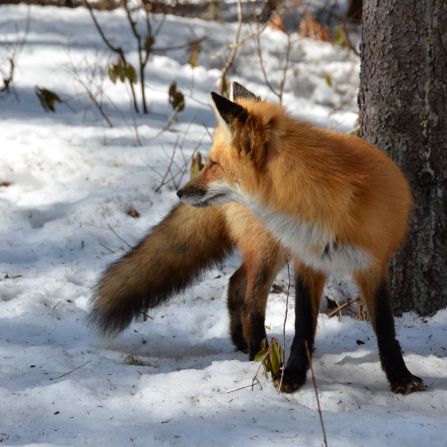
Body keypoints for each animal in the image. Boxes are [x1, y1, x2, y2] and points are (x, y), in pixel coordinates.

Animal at [91, 83, 424, 396]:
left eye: (213, 164)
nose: (179, 192)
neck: (319, 200)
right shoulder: (307, 261)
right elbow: (302, 326)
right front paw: (292, 376)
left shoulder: (372, 264)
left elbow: (385, 327)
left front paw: (400, 377)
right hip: (270, 249)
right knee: (251, 301)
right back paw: (259, 354)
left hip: (273, 251)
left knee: (237, 285)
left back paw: (243, 342)